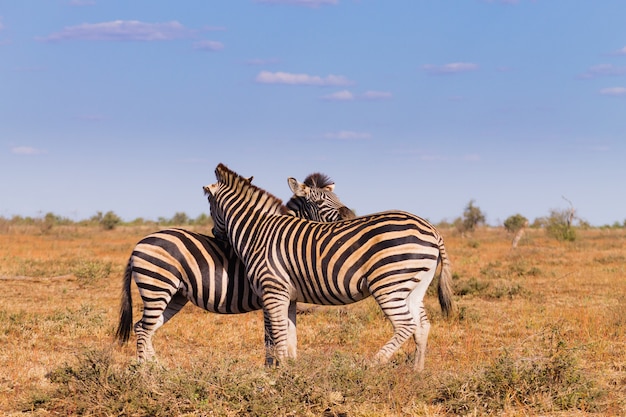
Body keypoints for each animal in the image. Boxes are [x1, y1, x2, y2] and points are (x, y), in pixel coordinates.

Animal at [114, 172, 354, 360]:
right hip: (157, 286)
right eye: (318, 202)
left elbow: (280, 338)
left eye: (337, 197)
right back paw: (146, 373)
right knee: (144, 329)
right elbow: (272, 339)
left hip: (175, 295)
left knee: (144, 328)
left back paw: (157, 369)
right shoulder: (270, 296)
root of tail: (140, 243)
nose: (350, 215)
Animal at [205, 163, 454, 370]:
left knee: (405, 325)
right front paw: (289, 369)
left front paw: (277, 371)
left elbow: (275, 335)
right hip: (415, 285)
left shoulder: (272, 290)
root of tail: (432, 229)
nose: (216, 234)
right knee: (422, 326)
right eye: (318, 202)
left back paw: (372, 364)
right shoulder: (288, 296)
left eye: (209, 206)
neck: (258, 231)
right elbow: (288, 334)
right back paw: (417, 372)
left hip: (388, 283)